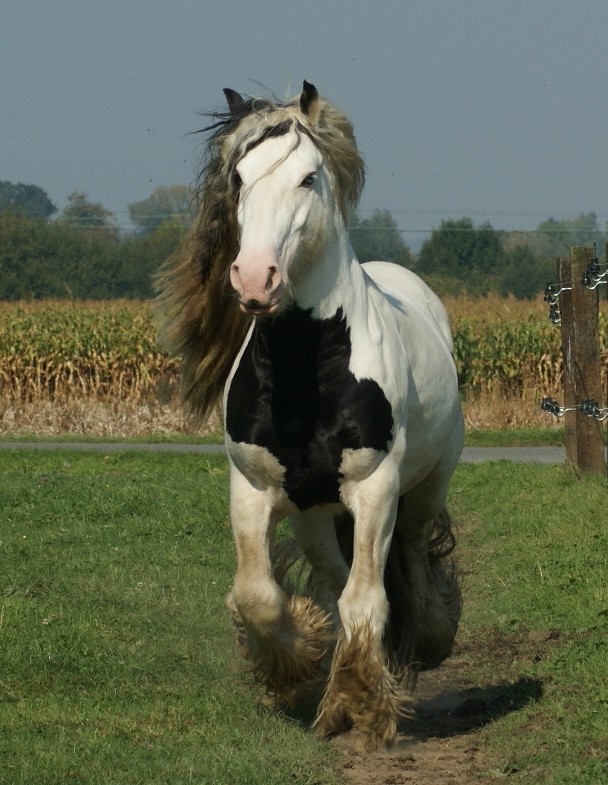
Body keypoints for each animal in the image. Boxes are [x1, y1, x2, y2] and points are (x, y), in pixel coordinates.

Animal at [154, 82, 464, 752]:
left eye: (308, 177)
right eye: (238, 176)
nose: (253, 277)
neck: (308, 370)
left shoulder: (375, 491)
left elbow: (367, 600)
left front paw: (364, 707)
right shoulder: (253, 489)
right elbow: (258, 596)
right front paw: (298, 667)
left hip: (423, 490)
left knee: (411, 562)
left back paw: (428, 638)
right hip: (315, 515)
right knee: (329, 578)